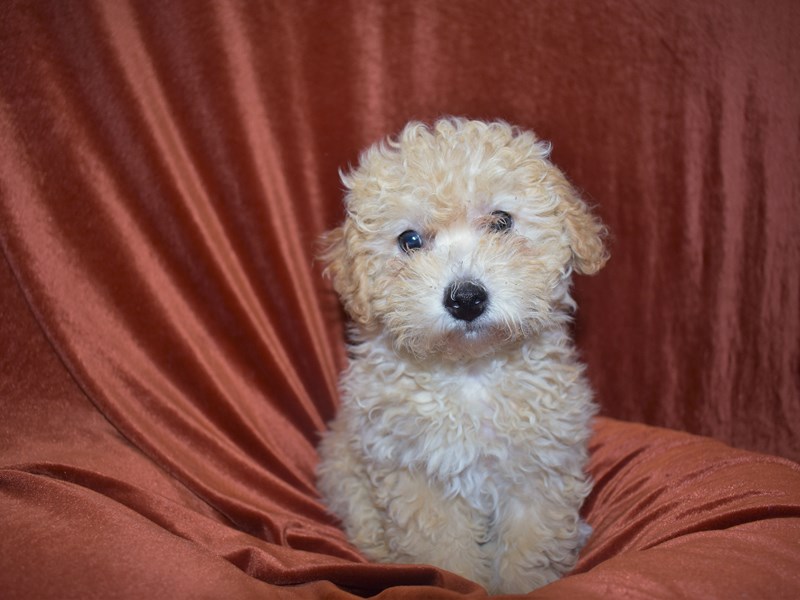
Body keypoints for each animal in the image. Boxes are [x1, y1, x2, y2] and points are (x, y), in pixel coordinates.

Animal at [316, 118, 608, 596]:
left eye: (501, 221)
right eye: (410, 240)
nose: (466, 298)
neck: (471, 372)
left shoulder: (537, 472)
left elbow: (529, 547)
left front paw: (525, 584)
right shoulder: (417, 477)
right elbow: (444, 552)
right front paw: (456, 581)